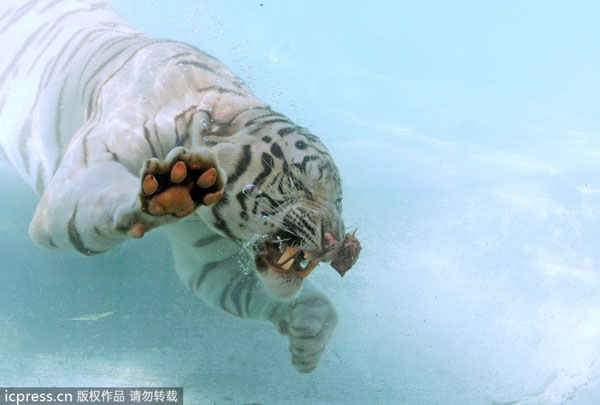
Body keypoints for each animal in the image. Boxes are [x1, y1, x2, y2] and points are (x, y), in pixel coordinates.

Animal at [0, 0, 352, 372]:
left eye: (339, 201)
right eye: (302, 182)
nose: (333, 241)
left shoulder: (211, 254)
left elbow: (262, 294)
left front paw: (309, 337)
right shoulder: (76, 180)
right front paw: (168, 190)